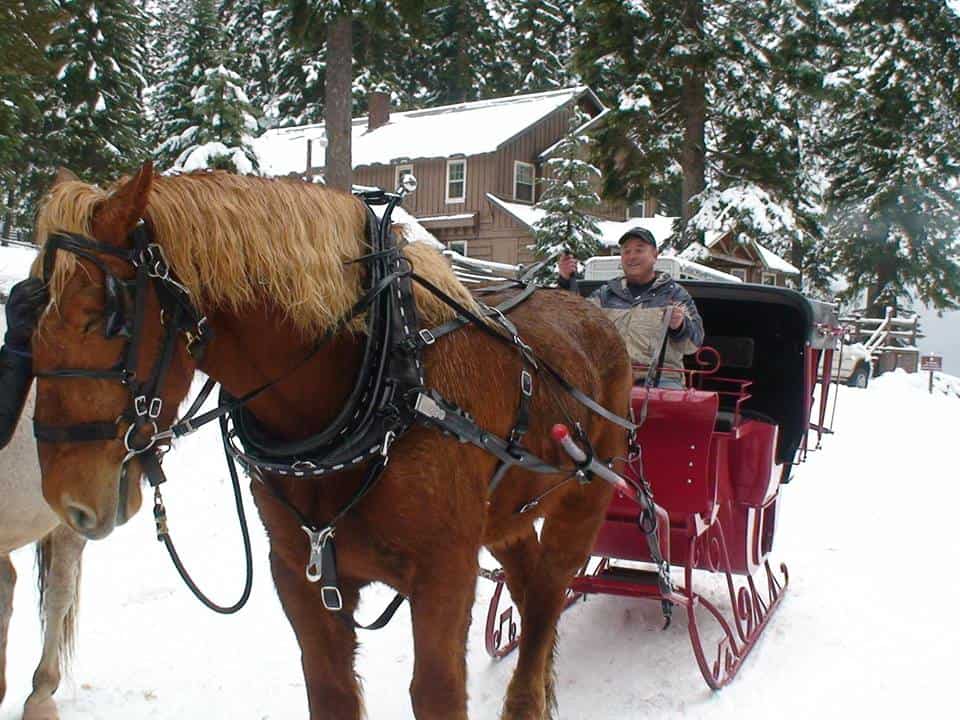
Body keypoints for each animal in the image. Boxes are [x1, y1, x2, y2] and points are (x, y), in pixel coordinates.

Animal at [30, 165, 632, 720]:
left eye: (104, 318)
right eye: (30, 317)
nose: (64, 499)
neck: (386, 380)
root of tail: (592, 312)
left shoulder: (445, 573)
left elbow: (435, 693)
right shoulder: (300, 575)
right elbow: (330, 690)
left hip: (585, 499)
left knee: (549, 595)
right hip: (508, 513)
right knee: (530, 589)